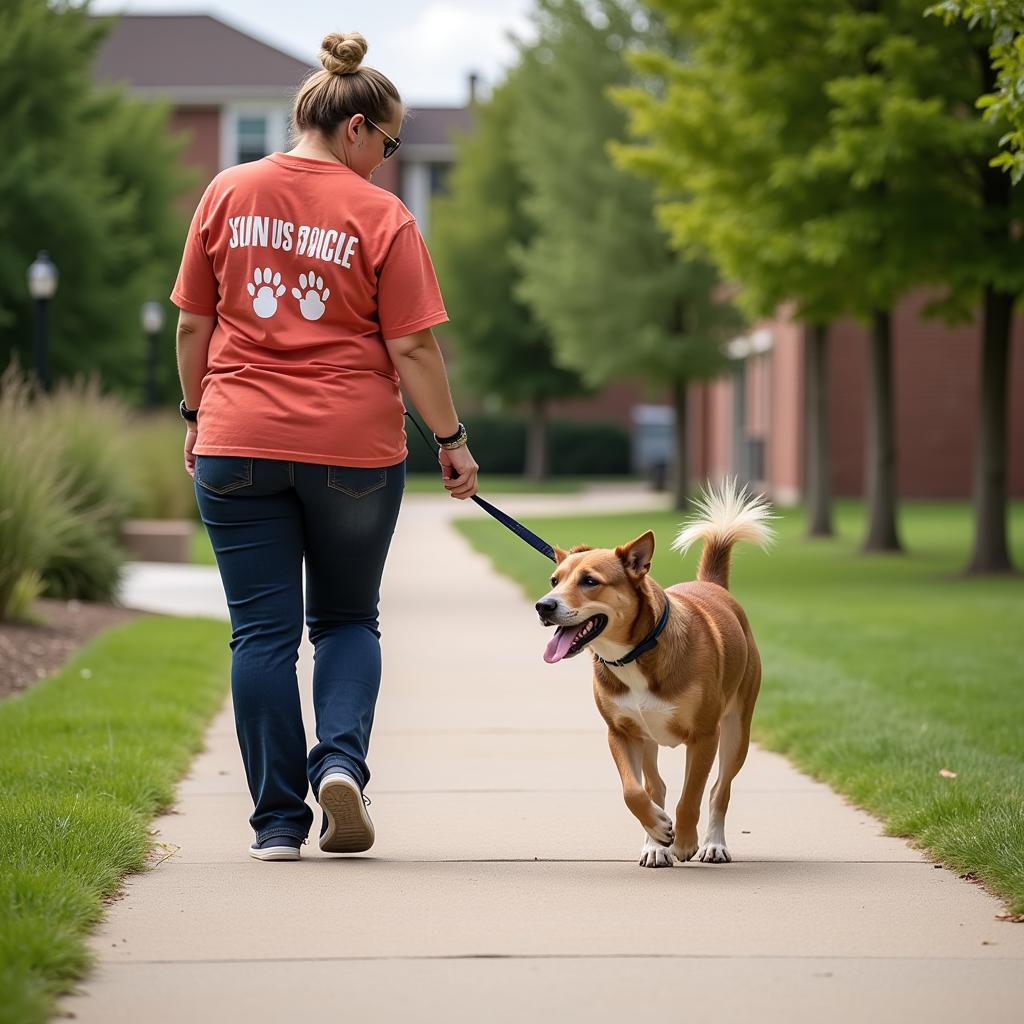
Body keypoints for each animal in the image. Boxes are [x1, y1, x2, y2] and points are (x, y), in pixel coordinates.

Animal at [540, 483, 770, 868]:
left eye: (589, 581)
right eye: (554, 581)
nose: (543, 605)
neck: (634, 654)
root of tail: (712, 585)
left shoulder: (705, 736)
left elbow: (691, 796)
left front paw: (685, 842)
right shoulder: (620, 732)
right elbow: (633, 792)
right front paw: (659, 831)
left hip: (737, 728)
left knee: (719, 790)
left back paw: (713, 844)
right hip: (647, 737)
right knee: (655, 787)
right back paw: (655, 843)